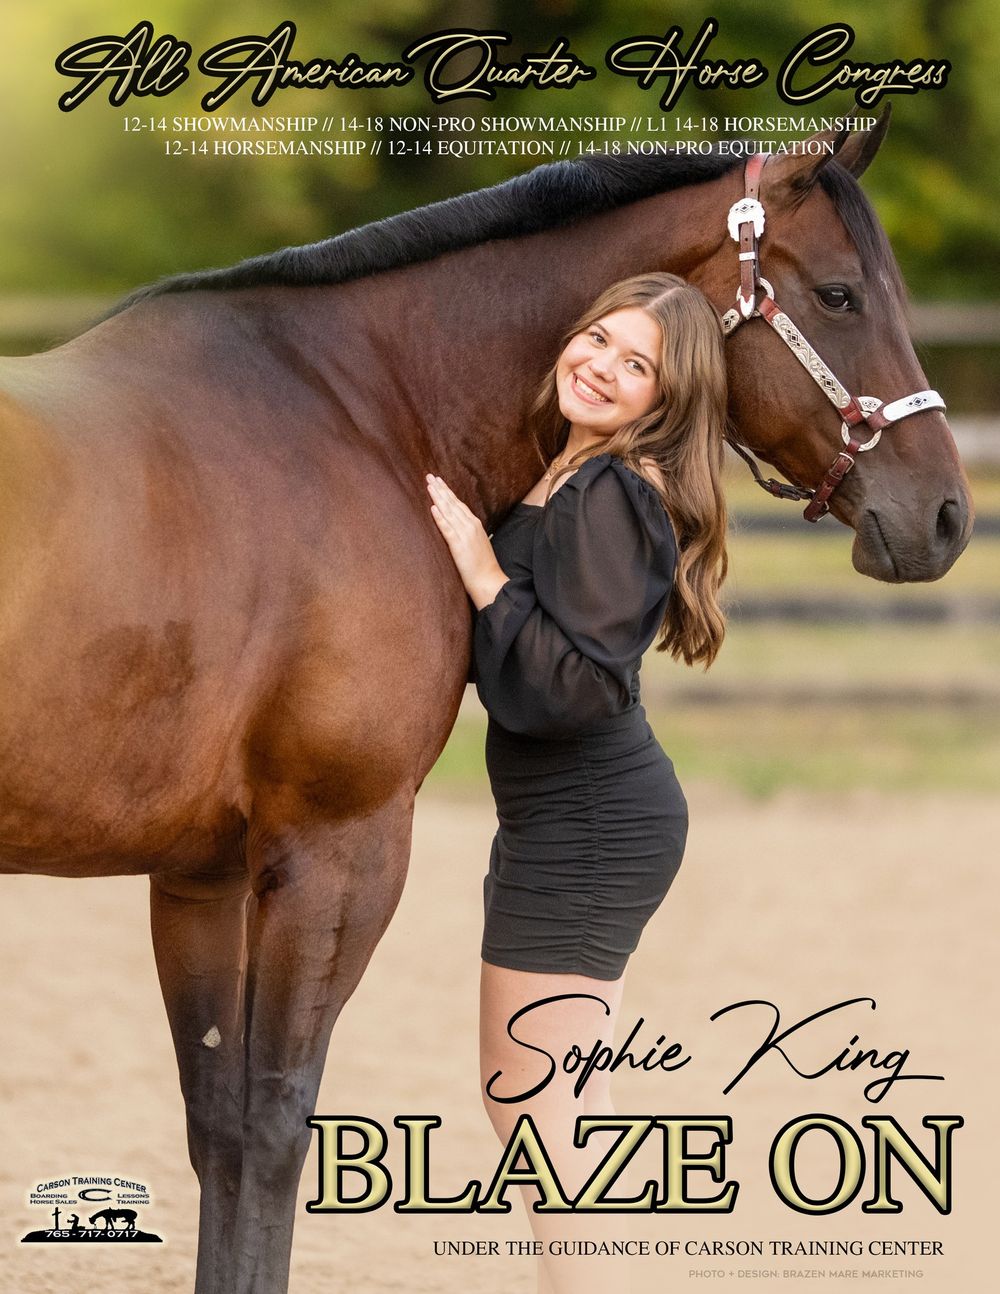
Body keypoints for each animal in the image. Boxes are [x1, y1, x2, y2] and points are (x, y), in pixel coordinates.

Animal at [0, 114, 972, 1293]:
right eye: (838, 295)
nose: (944, 514)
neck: (358, 417)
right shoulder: (339, 847)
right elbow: (274, 1123)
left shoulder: (202, 872)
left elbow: (217, 1124)